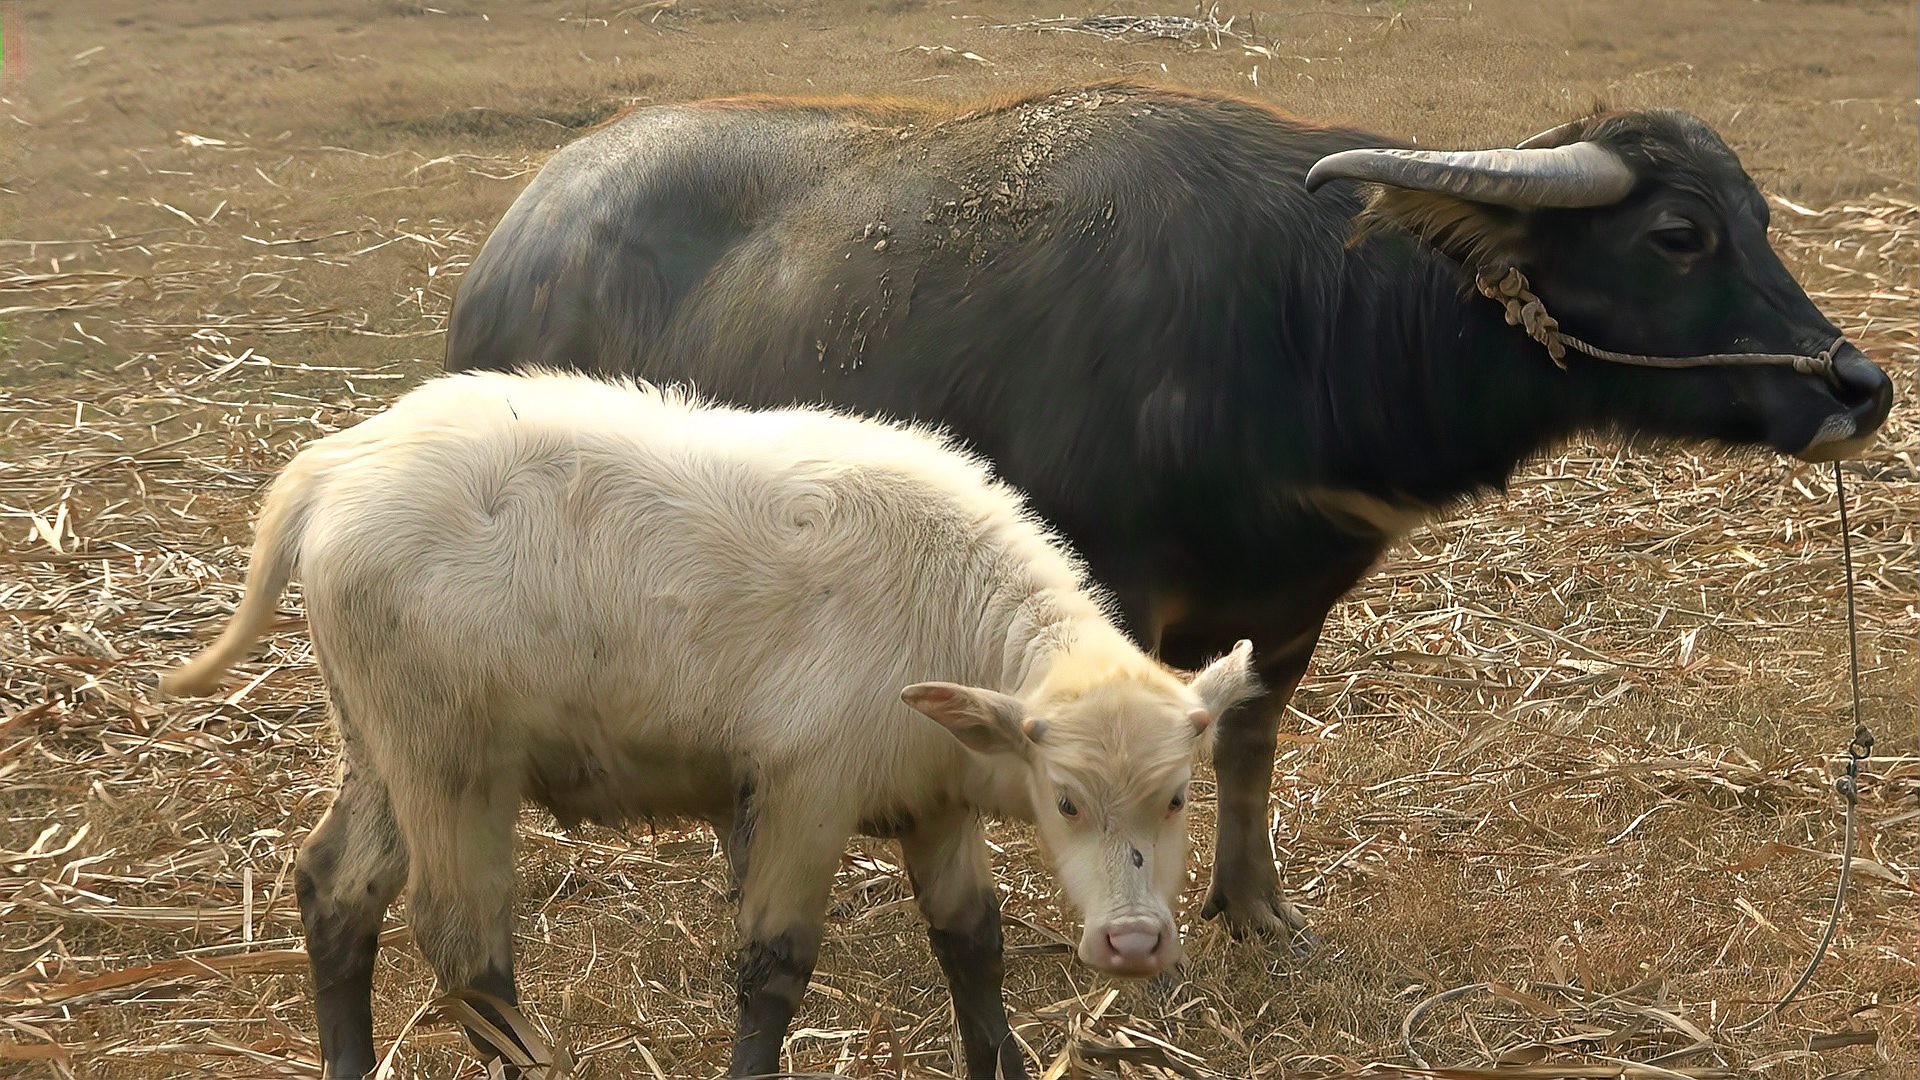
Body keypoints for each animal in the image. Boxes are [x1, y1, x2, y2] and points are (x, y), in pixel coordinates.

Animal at [168, 372, 1259, 1076]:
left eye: (1178, 796)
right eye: (1066, 800)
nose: (1132, 943)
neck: (946, 606)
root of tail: (336, 466)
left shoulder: (936, 807)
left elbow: (973, 946)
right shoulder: (803, 795)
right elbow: (775, 969)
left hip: (381, 739)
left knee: (336, 888)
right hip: (452, 760)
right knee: (464, 944)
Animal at [445, 79, 1889, 945]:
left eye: (1762, 216)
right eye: (1680, 235)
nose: (1858, 386)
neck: (1301, 324)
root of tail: (509, 246)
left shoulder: (1296, 601)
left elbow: (1249, 749)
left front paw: (1257, 910)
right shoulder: (1112, 586)